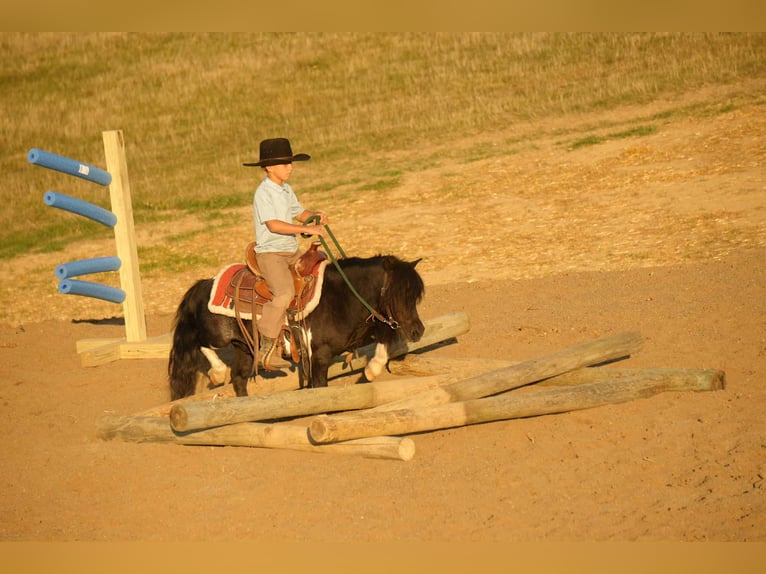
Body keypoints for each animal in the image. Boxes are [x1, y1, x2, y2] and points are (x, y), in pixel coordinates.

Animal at [168, 254, 425, 400]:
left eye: (415, 296)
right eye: (398, 293)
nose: (418, 331)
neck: (341, 296)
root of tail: (203, 285)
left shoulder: (361, 335)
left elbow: (384, 344)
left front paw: (372, 370)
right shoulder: (318, 354)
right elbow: (319, 386)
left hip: (244, 347)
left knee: (238, 378)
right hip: (217, 334)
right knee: (198, 343)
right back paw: (217, 372)